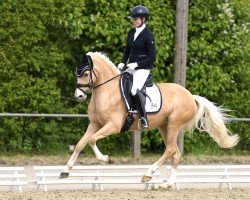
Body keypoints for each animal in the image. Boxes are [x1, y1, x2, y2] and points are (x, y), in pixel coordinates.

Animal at [60, 51, 238, 188]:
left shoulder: (113, 126)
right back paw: (167, 184)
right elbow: (80, 144)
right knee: (176, 153)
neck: (107, 91)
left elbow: (91, 140)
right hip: (164, 127)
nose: (79, 96)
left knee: (170, 150)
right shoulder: (95, 123)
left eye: (85, 74)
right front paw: (65, 171)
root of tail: (190, 96)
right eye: (76, 73)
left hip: (174, 125)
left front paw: (107, 159)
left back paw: (148, 174)